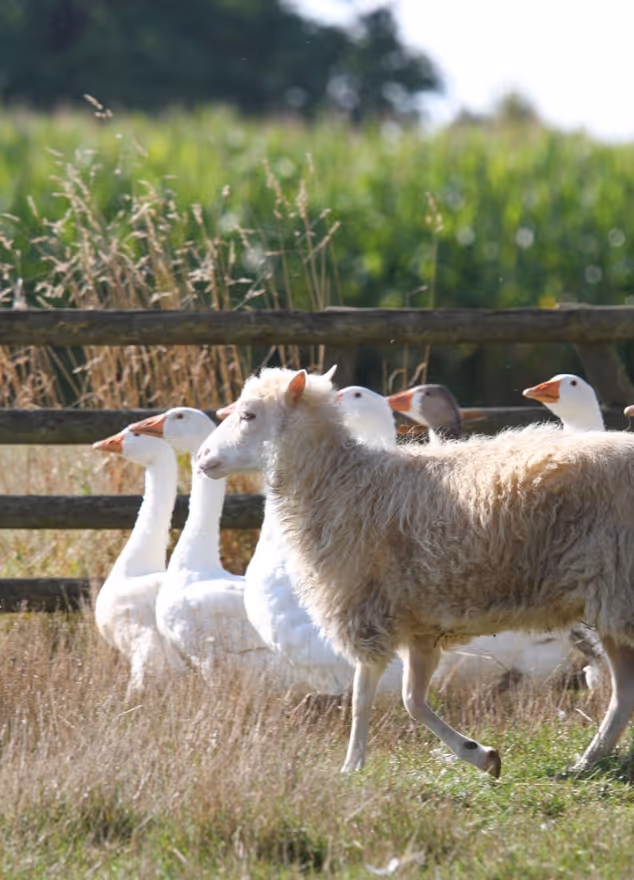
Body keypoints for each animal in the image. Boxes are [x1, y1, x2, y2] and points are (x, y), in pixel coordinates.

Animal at [196, 367, 634, 777]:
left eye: (249, 415)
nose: (201, 458)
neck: (340, 481)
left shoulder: (364, 610)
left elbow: (362, 696)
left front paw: (352, 765)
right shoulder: (420, 626)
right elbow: (413, 700)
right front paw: (479, 755)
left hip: (617, 592)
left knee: (623, 691)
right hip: (613, 605)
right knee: (624, 693)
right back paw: (588, 760)